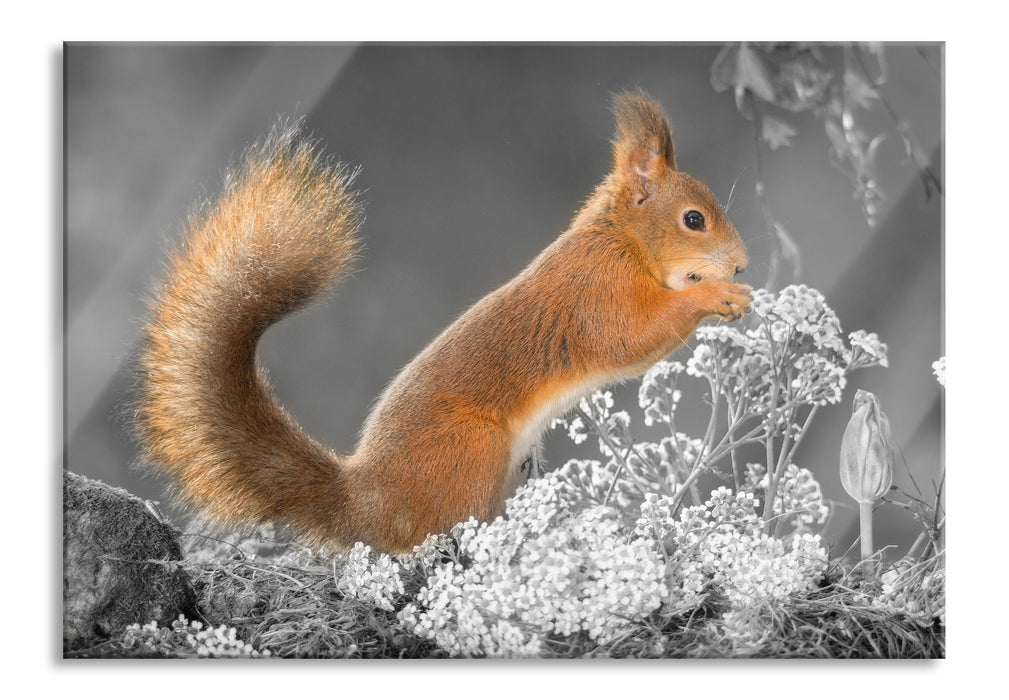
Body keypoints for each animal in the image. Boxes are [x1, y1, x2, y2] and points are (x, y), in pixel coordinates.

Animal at [135, 91, 752, 554]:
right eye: (693, 220)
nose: (743, 263)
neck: (623, 240)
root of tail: (366, 504)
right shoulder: (597, 293)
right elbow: (632, 338)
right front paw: (719, 294)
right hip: (471, 453)